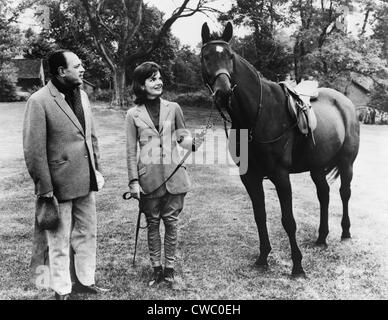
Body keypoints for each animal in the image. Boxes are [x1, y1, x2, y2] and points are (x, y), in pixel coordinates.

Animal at [200, 22, 360, 276]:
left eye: (230, 56)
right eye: (206, 56)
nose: (223, 93)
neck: (257, 116)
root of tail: (346, 103)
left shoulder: (281, 176)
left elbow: (288, 221)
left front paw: (297, 266)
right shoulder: (249, 177)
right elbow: (260, 215)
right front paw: (263, 257)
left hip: (346, 163)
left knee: (345, 193)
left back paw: (345, 232)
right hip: (316, 167)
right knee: (324, 195)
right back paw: (321, 237)